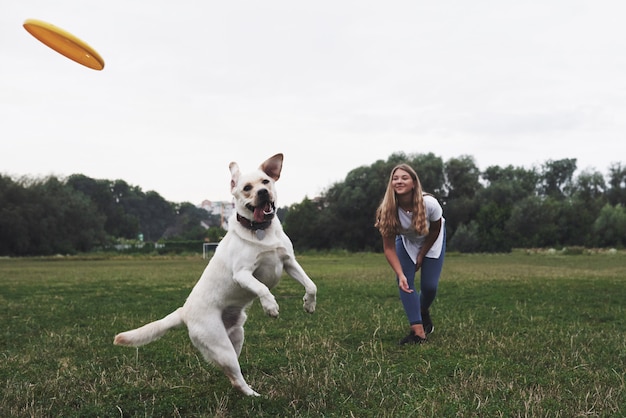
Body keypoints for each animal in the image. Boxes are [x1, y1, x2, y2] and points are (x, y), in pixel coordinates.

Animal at [112, 153, 314, 396]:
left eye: (265, 181)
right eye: (247, 188)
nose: (262, 192)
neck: (260, 230)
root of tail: (184, 312)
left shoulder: (289, 262)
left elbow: (311, 285)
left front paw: (309, 305)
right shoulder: (243, 273)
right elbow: (262, 287)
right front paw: (271, 307)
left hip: (236, 337)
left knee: (230, 373)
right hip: (220, 345)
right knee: (236, 377)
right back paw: (254, 395)